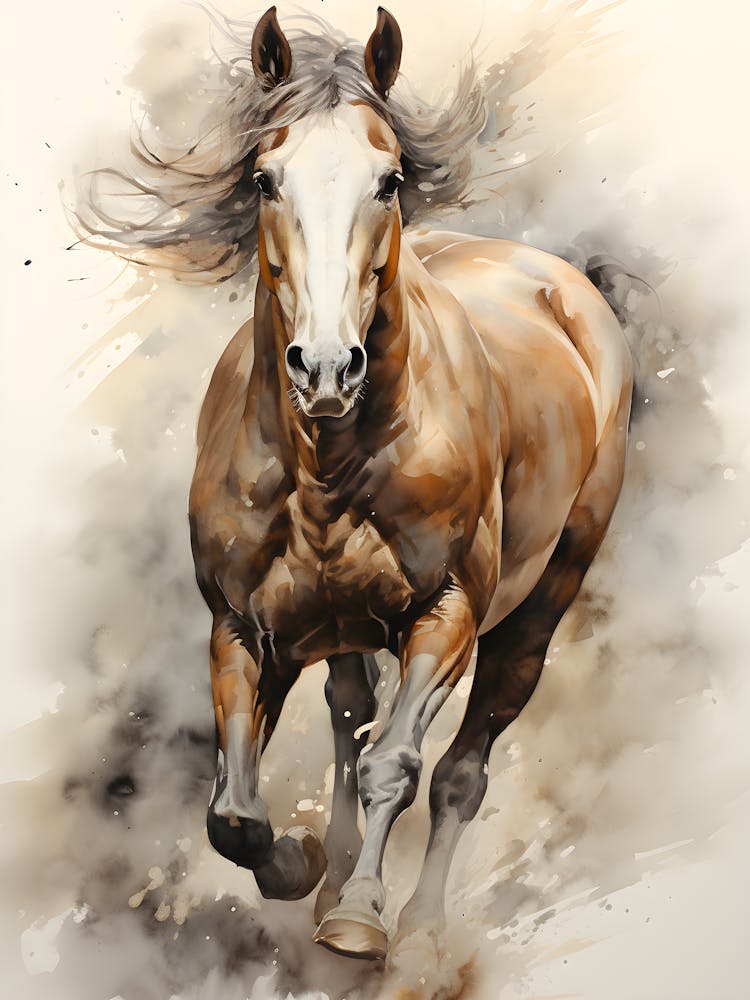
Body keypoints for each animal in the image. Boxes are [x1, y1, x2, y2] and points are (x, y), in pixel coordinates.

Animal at [91, 5, 633, 962]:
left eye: (389, 180)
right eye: (265, 177)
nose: (326, 367)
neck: (327, 465)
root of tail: (567, 287)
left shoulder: (446, 616)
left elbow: (396, 765)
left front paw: (358, 918)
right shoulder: (242, 627)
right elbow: (234, 813)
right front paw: (303, 866)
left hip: (538, 607)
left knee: (459, 769)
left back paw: (416, 930)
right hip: (340, 628)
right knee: (350, 719)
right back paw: (337, 869)